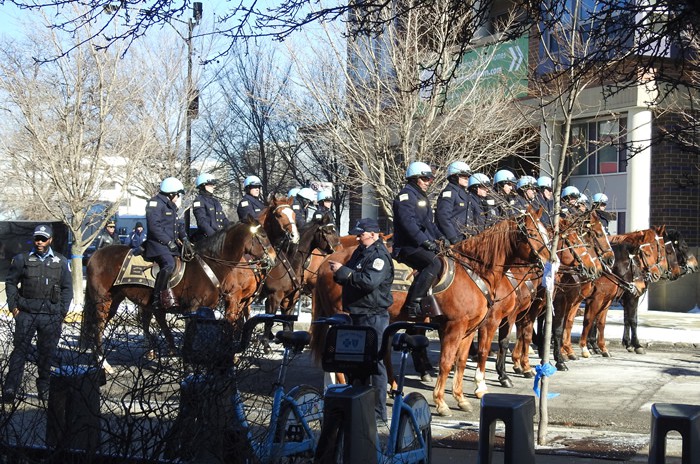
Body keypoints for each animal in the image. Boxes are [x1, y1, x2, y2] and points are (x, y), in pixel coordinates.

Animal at [80, 219, 278, 364]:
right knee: (98, 325)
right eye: (263, 235)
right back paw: (104, 362)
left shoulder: (210, 308)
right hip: (103, 300)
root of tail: (94, 255)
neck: (210, 264)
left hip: (117, 300)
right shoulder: (195, 309)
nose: (274, 258)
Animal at [308, 208, 548, 416]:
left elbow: (461, 361)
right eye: (533, 233)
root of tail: (328, 263)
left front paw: (461, 398)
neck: (473, 271)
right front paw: (443, 401)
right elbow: (450, 360)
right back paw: (343, 387)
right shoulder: (460, 325)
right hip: (345, 319)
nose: (547, 262)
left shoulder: (470, 328)